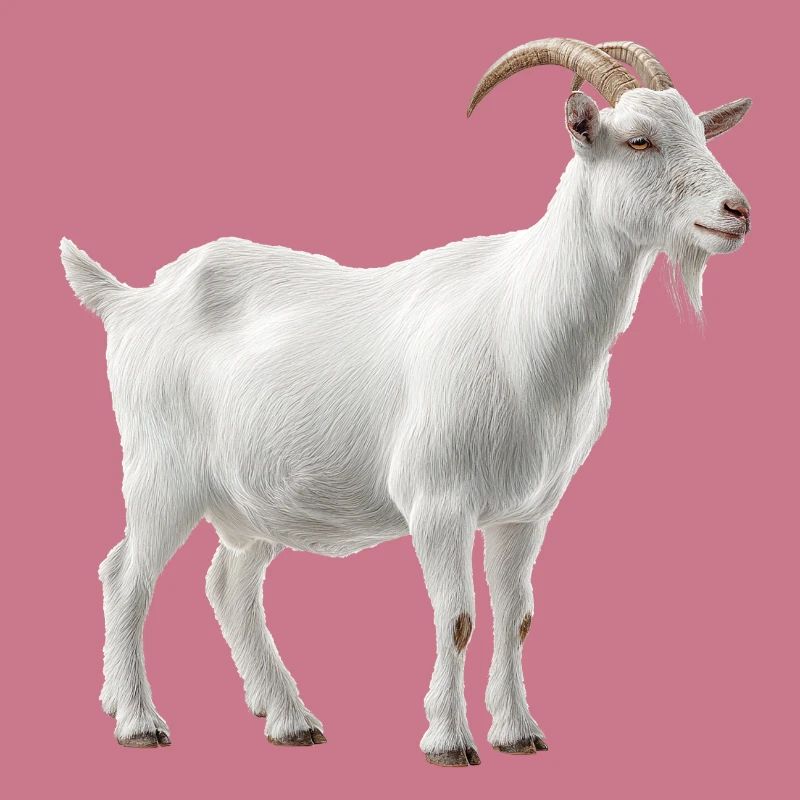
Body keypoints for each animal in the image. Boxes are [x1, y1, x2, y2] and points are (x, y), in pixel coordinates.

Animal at [62, 38, 751, 766]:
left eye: (702, 132)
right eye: (639, 140)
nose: (736, 212)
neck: (522, 321)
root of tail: (129, 301)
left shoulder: (524, 512)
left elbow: (518, 617)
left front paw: (518, 731)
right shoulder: (438, 500)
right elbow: (457, 618)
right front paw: (448, 740)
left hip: (251, 500)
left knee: (228, 584)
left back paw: (288, 718)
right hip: (161, 472)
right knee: (126, 577)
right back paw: (139, 720)